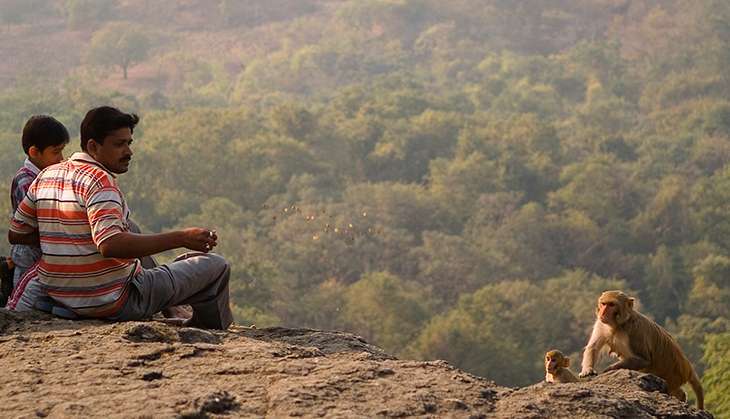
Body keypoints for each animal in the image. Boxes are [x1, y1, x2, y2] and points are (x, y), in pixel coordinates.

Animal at [576, 292, 704, 410]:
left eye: (611, 304)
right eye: (603, 304)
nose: (602, 313)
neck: (618, 324)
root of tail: (687, 366)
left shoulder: (635, 330)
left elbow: (644, 359)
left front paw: (610, 369)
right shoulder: (601, 324)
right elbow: (593, 348)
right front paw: (587, 370)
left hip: (674, 376)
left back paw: (681, 397)